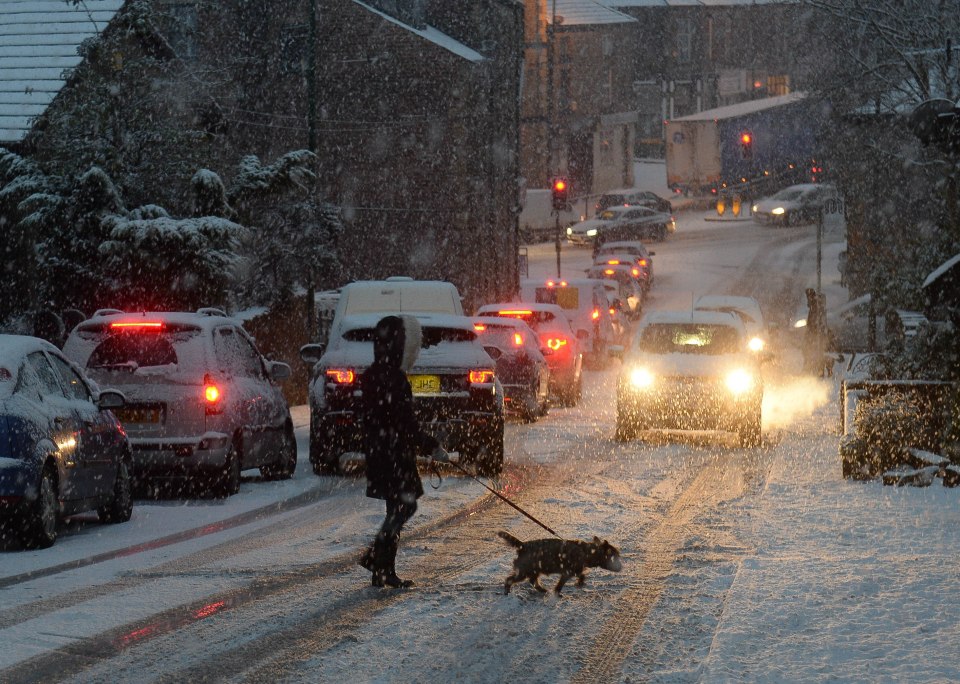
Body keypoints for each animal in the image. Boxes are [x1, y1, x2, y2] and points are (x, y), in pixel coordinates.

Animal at [498, 528, 628, 592]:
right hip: (524, 571)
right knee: (509, 579)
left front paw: (578, 584)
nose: (622, 567)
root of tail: (522, 545)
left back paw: (542, 590)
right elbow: (565, 581)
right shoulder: (569, 572)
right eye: (614, 556)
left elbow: (580, 576)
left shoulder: (574, 571)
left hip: (534, 570)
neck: (587, 552)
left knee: (533, 581)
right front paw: (559, 591)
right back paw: (507, 591)